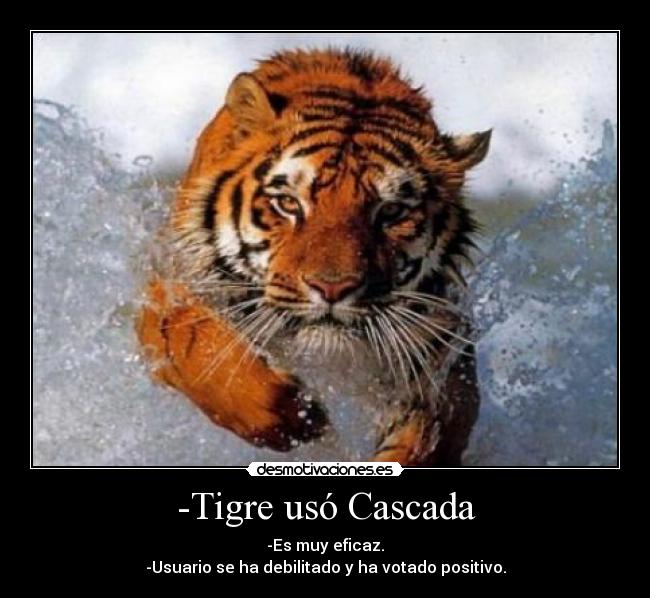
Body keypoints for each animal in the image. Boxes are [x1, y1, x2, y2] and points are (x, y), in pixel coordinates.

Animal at [136, 48, 491, 466]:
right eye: (289, 203)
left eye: (390, 212)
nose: (333, 288)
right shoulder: (170, 287)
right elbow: (198, 348)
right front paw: (296, 417)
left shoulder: (441, 346)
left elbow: (431, 431)